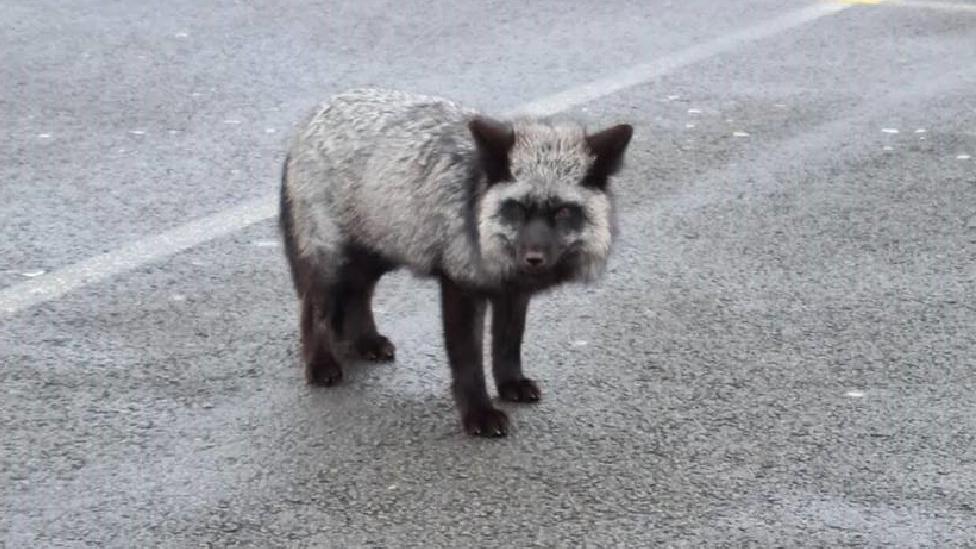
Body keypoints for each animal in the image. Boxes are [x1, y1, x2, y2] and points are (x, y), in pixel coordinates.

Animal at [280, 86, 632, 436]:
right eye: (517, 208)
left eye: (562, 211)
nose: (534, 259)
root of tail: (315, 115)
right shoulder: (461, 286)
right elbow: (468, 360)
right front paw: (479, 413)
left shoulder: (513, 292)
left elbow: (507, 343)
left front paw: (511, 383)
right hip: (333, 257)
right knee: (313, 307)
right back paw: (320, 363)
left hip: (378, 248)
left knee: (358, 293)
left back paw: (366, 341)